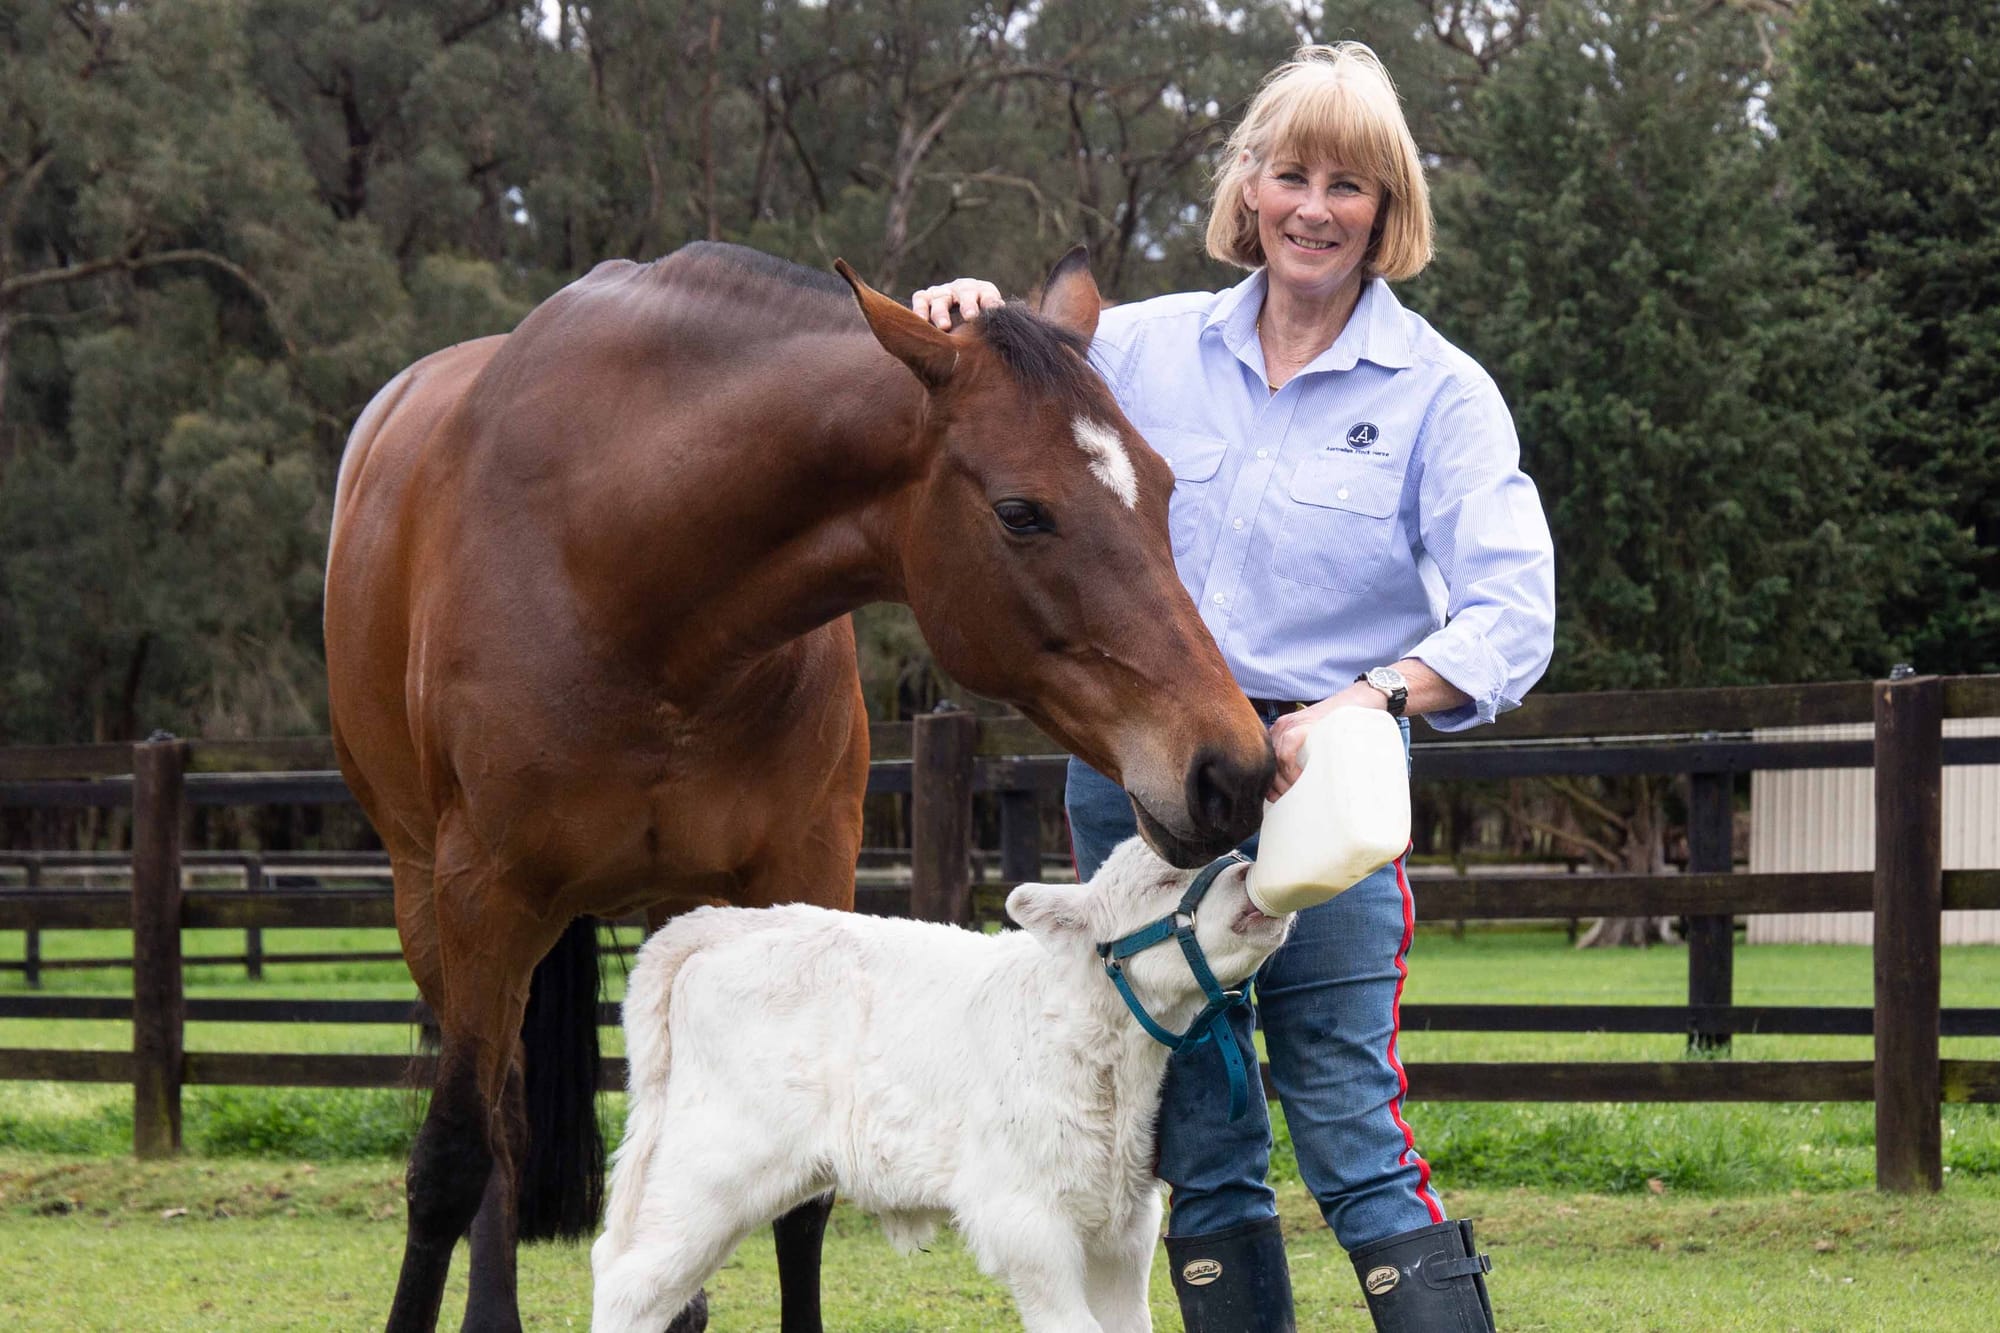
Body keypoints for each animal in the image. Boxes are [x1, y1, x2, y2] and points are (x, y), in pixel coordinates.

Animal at [323, 240, 1274, 1333]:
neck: (623, 573)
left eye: (1161, 487)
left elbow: (805, 1202)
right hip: (432, 910)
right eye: (1020, 511)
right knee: (498, 1133)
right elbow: (449, 1161)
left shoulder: (803, 874)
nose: (1232, 768)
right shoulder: (482, 899)